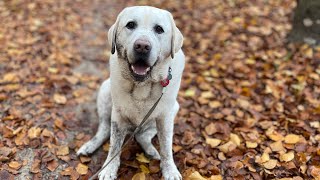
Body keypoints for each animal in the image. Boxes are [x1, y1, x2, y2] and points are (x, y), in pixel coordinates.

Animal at [76, 5, 184, 180]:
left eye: (159, 29)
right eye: (131, 25)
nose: (142, 46)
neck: (142, 86)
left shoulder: (165, 116)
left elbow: (166, 147)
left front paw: (170, 170)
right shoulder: (118, 117)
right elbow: (114, 145)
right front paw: (109, 169)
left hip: (174, 108)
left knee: (143, 136)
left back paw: (151, 151)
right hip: (105, 91)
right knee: (104, 129)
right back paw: (89, 146)